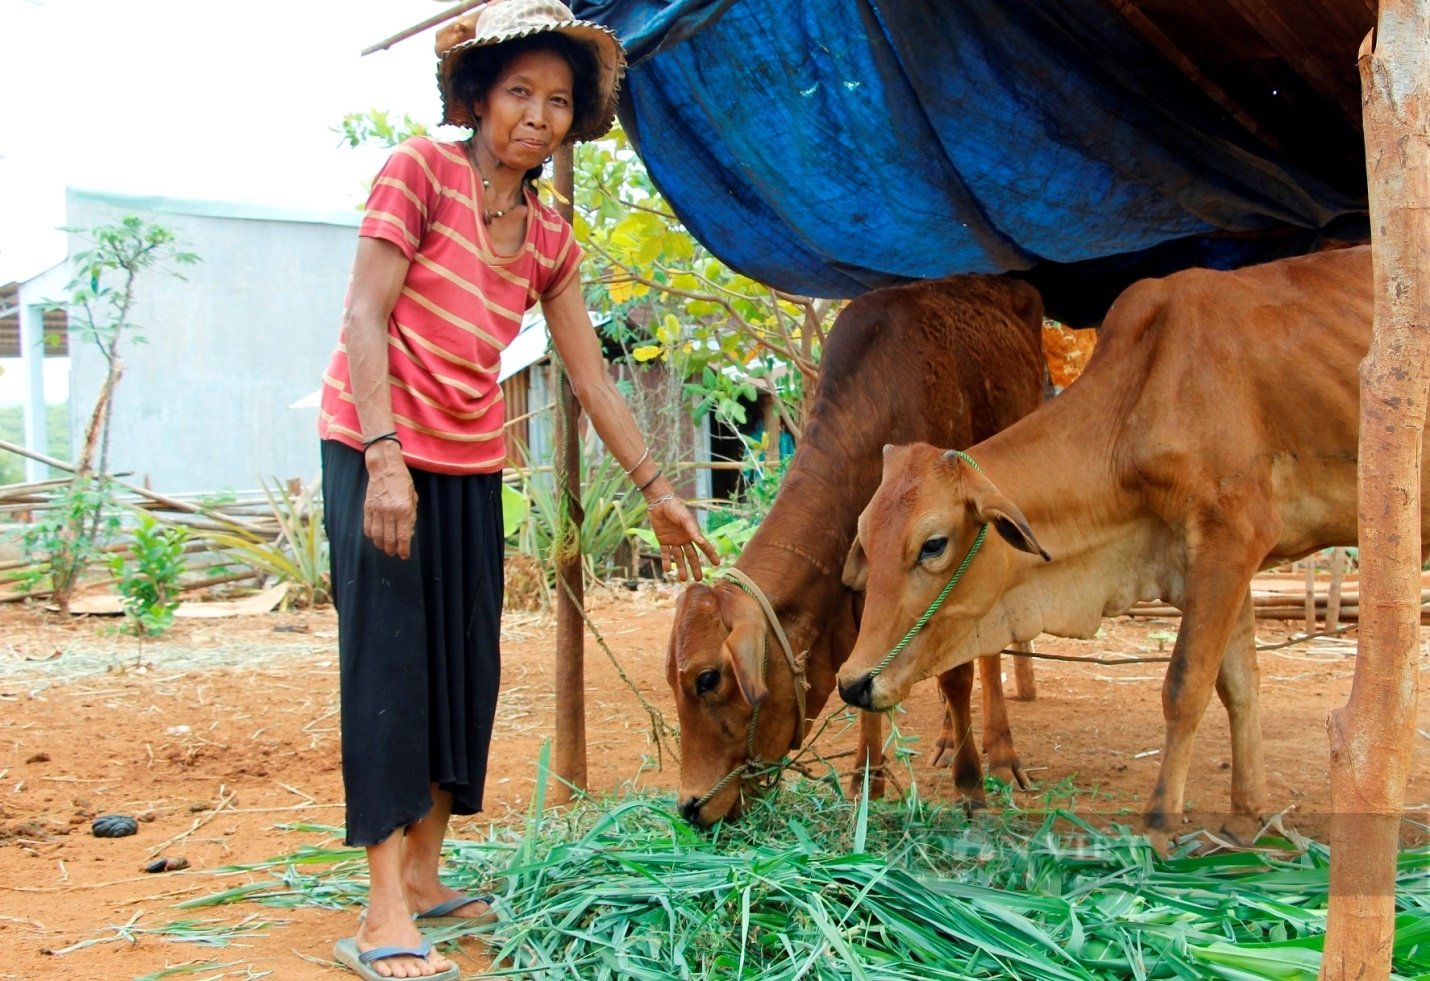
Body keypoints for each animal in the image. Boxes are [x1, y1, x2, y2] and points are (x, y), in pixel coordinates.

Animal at [669, 274, 1052, 829]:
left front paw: (971, 787)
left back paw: (1001, 755)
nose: (689, 806)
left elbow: (958, 675)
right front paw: (866, 780)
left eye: (707, 678)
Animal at [835, 247, 1407, 852]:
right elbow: (1240, 686)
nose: (853, 682)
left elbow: (1185, 687)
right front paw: (1244, 819)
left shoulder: (1232, 536)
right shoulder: (1212, 560)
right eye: (865, 536)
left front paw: (1158, 826)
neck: (1140, 399)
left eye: (934, 544)